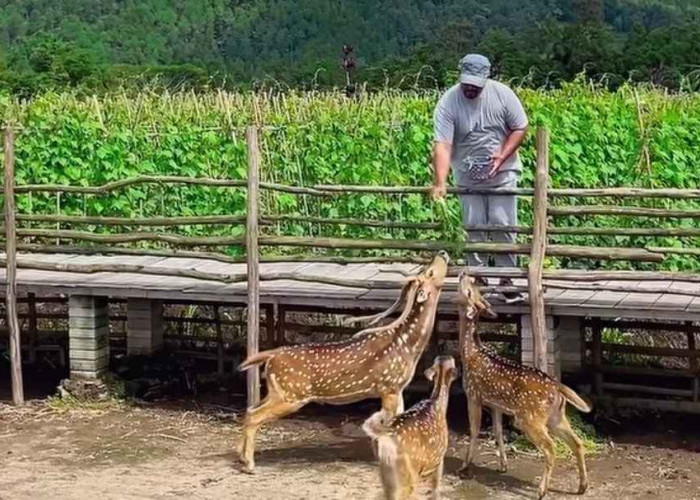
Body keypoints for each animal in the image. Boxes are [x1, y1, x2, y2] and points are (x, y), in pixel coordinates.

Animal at [238, 250, 452, 472]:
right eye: (429, 272)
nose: (442, 252)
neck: (408, 346)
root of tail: (271, 356)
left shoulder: (397, 388)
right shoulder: (388, 386)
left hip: (277, 391)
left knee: (249, 409)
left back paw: (241, 457)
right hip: (291, 395)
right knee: (254, 416)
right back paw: (249, 464)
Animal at [364, 356, 456, 500]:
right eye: (453, 362)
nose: (449, 356)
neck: (438, 405)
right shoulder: (440, 457)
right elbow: (435, 489)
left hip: (386, 473)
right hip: (409, 473)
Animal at [456, 272, 592, 498]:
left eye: (468, 290)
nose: (466, 273)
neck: (470, 353)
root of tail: (557, 388)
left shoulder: (473, 394)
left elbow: (474, 430)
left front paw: (464, 467)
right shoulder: (495, 404)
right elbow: (497, 432)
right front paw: (503, 465)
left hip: (530, 418)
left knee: (551, 447)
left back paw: (542, 490)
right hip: (556, 416)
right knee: (578, 443)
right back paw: (582, 486)